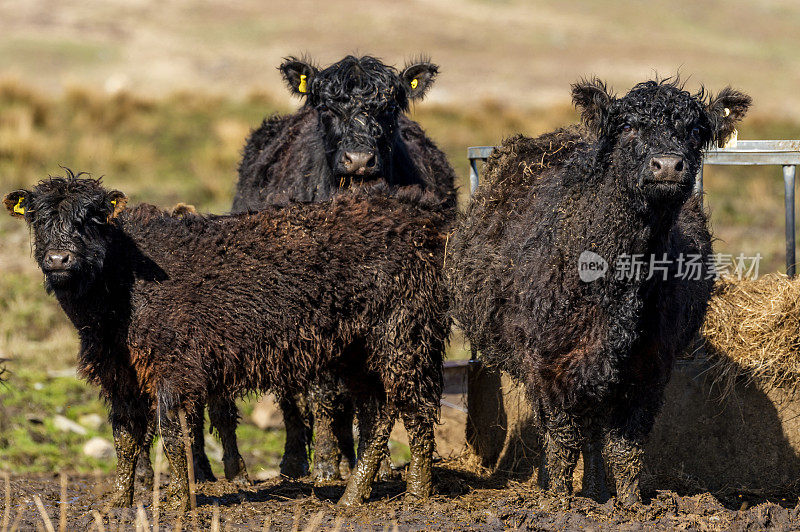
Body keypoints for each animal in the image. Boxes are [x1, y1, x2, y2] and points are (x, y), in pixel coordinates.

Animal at [4, 176, 450, 512]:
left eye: (92, 219)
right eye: (38, 219)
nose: (59, 259)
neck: (120, 286)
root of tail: (421, 217)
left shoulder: (174, 367)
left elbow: (172, 435)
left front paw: (180, 504)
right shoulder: (120, 374)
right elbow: (125, 437)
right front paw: (119, 502)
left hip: (403, 335)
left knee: (415, 408)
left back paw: (418, 493)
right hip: (356, 350)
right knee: (378, 414)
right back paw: (352, 498)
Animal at [231, 55, 456, 482]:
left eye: (389, 107)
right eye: (327, 109)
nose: (359, 161)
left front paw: (376, 463)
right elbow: (321, 392)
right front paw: (323, 464)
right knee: (296, 393)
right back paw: (297, 460)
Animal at [450, 77, 752, 504]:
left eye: (694, 131)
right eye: (627, 127)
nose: (667, 165)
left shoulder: (650, 366)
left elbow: (627, 446)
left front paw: (631, 504)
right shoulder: (547, 365)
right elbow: (561, 441)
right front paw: (558, 501)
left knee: (593, 430)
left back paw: (596, 491)